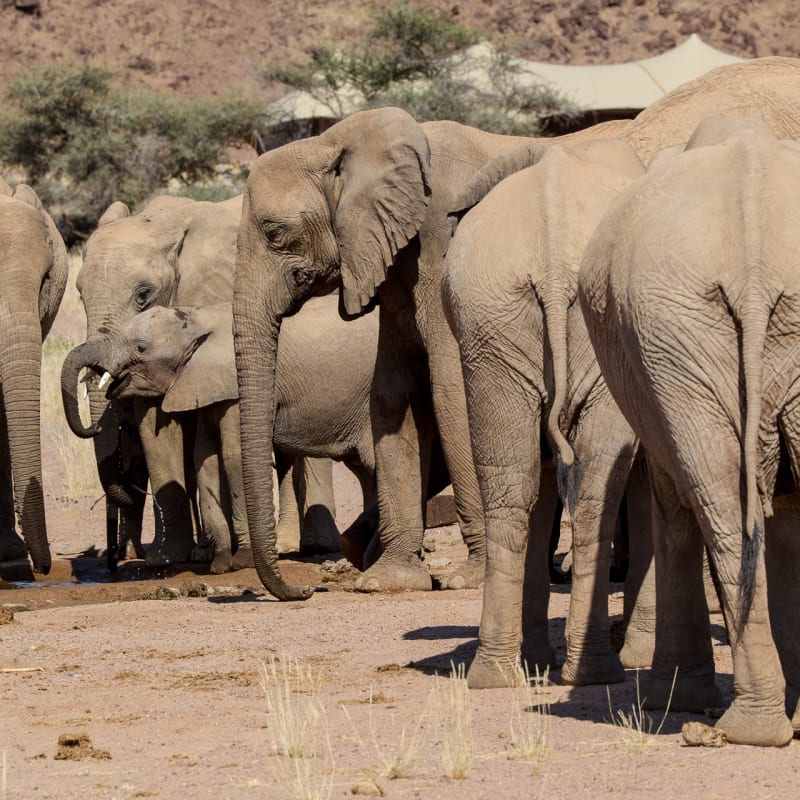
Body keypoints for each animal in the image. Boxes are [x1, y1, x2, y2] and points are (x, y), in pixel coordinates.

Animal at [83, 295, 379, 573]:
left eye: (141, 347)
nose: (111, 564)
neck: (198, 319)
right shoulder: (204, 386)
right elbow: (205, 459)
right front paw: (221, 563)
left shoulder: (235, 389)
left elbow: (233, 456)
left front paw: (244, 560)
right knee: (364, 469)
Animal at [442, 139, 647, 689]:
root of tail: (552, 256)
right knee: (595, 485)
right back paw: (591, 671)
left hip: (490, 321)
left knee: (513, 485)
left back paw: (497, 675)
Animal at [579, 116, 800, 746]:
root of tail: (753, 255)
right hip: (676, 331)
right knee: (724, 502)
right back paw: (759, 727)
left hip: (673, 331)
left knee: (714, 501)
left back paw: (746, 725)